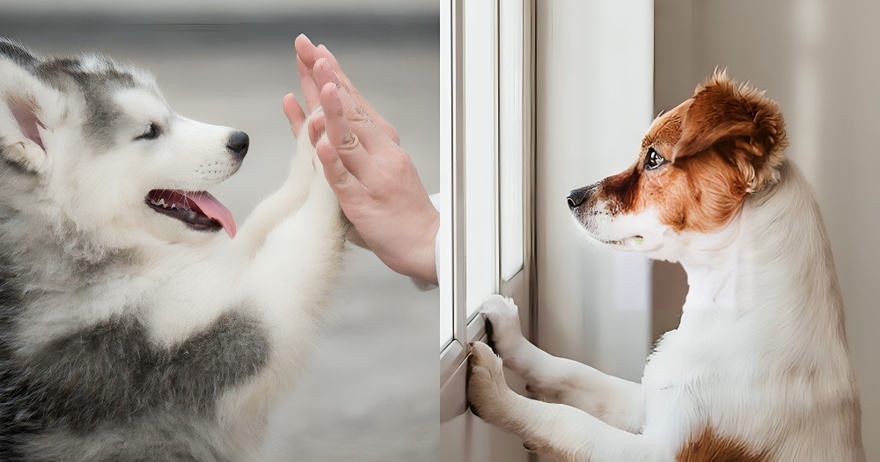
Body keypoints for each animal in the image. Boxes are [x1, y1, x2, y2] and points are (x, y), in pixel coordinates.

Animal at [0, 38, 348, 460]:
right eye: (150, 131)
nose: (241, 141)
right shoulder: (212, 345)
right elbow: (293, 246)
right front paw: (334, 165)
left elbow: (263, 221)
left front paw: (314, 142)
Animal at [468, 73, 868, 462]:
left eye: (654, 158)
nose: (571, 197)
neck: (723, 315)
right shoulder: (651, 402)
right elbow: (571, 371)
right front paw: (511, 337)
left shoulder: (663, 450)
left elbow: (568, 423)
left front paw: (495, 392)